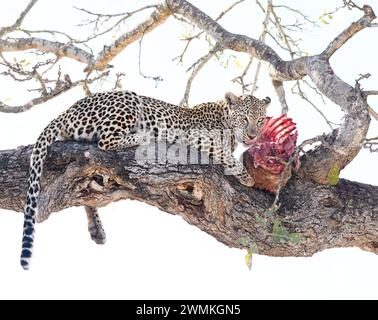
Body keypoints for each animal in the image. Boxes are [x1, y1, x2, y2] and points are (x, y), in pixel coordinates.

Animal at [20, 90, 270, 270]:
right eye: (244, 118)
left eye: (261, 120)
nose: (253, 135)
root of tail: (67, 110)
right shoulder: (195, 138)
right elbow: (224, 154)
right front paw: (246, 176)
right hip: (128, 100)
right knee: (105, 141)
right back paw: (145, 136)